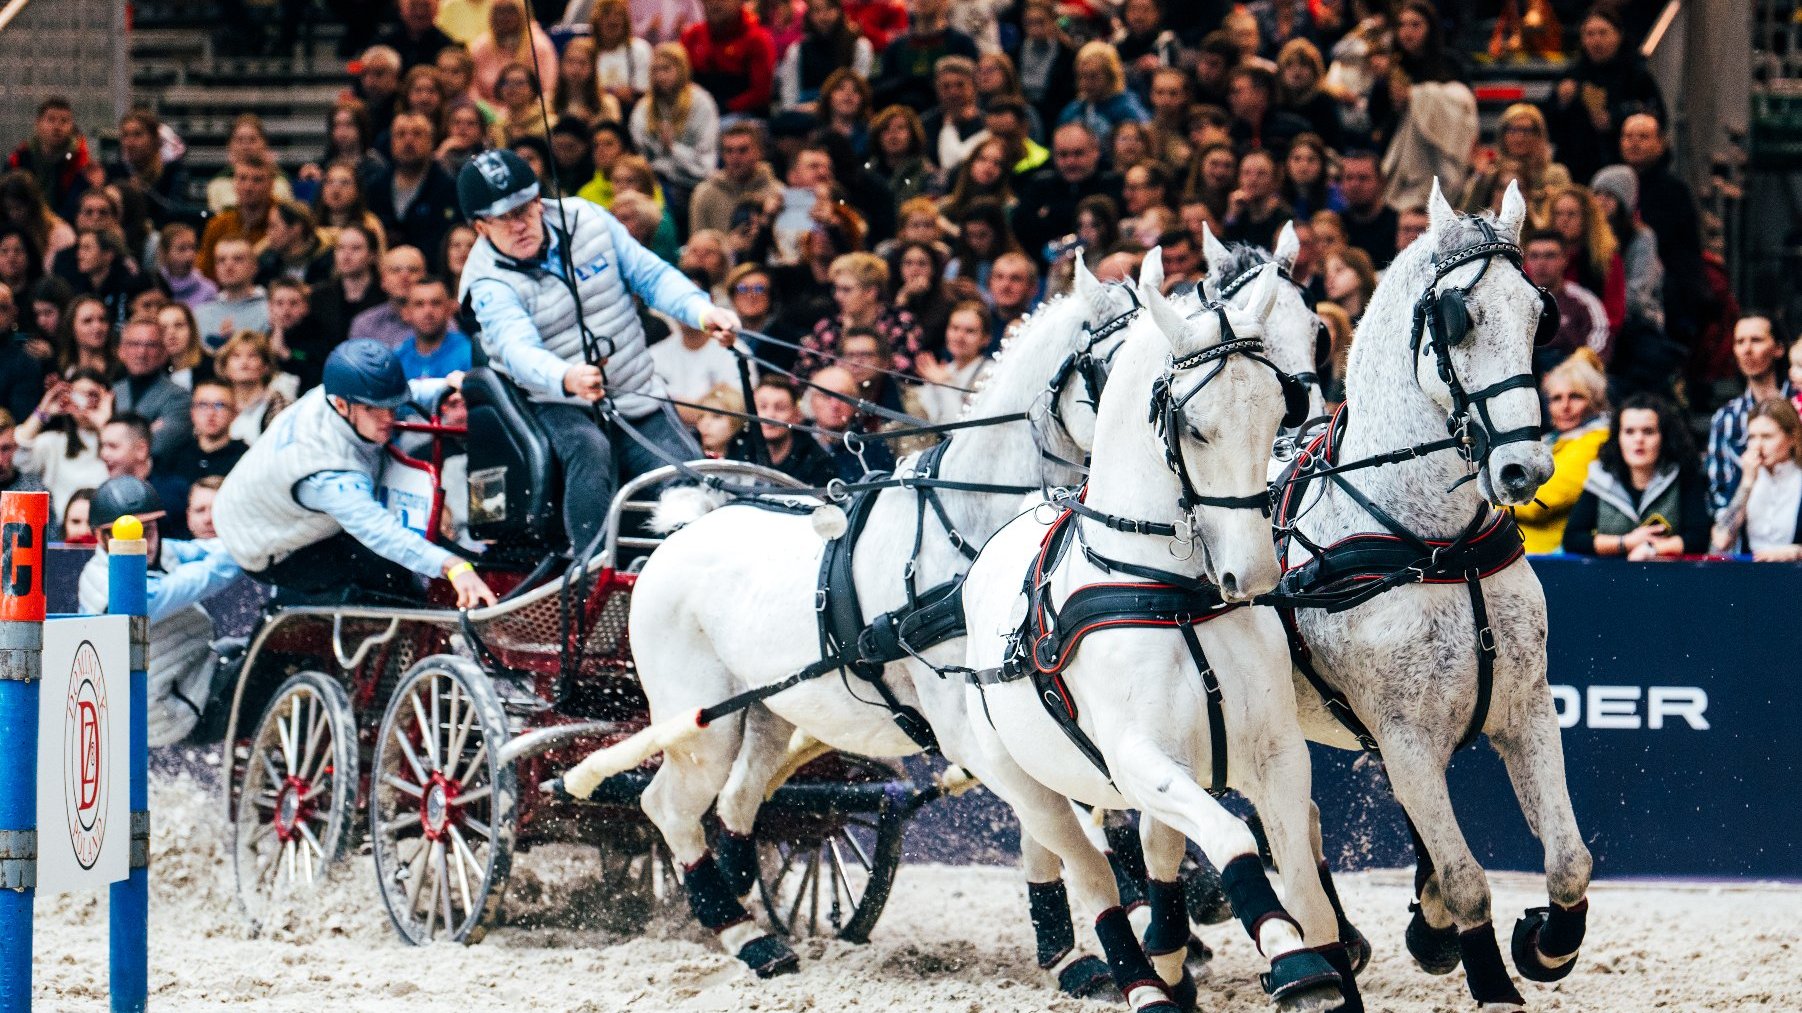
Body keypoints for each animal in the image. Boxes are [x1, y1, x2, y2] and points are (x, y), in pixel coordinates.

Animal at [562, 259, 1153, 980]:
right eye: (1115, 370)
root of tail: (672, 538)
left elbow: (1050, 817)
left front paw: (1068, 943)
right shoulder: (968, 727)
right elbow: (1048, 817)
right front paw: (1074, 950)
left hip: (768, 711)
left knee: (736, 802)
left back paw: (744, 895)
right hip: (703, 722)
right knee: (666, 807)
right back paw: (744, 934)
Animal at [958, 259, 1355, 1009]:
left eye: (1275, 409)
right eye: (1193, 427)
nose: (1253, 573)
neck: (1172, 597)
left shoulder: (1276, 752)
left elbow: (1306, 887)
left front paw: (1326, 960)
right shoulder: (1138, 756)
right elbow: (1230, 837)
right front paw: (1291, 959)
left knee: (1156, 846)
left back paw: (1169, 955)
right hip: (1030, 787)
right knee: (1093, 875)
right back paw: (1141, 981)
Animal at [1275, 181, 1585, 1009]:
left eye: (1540, 315)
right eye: (1458, 317)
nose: (1524, 470)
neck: (1438, 547)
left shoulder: (1528, 708)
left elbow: (1568, 861)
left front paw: (1546, 943)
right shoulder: (1404, 736)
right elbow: (1469, 878)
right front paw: (1485, 967)